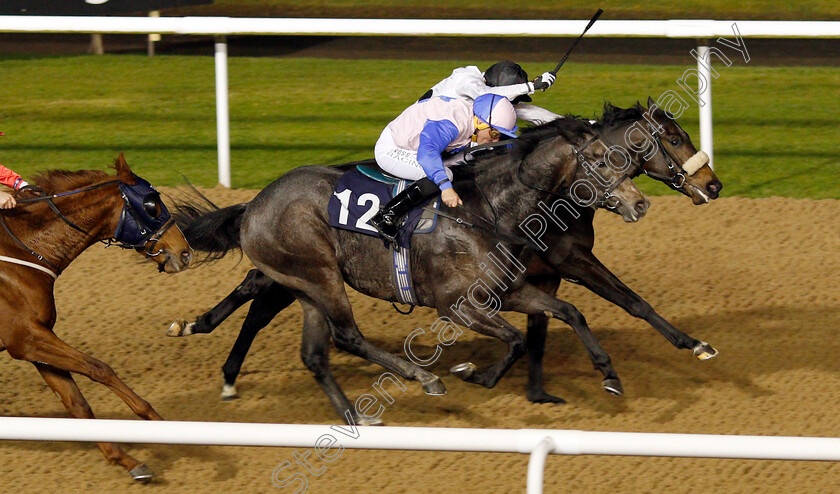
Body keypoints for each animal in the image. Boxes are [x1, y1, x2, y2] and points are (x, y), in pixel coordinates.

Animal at [0, 154, 192, 482]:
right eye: (152, 205)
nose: (185, 252)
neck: (22, 250)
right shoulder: (24, 337)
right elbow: (99, 368)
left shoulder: (35, 339)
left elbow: (77, 403)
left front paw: (128, 458)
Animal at [169, 97, 720, 406]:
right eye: (672, 137)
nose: (712, 185)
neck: (492, 207)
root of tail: (255, 203)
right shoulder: (464, 302)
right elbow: (544, 329)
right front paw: (473, 373)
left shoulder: (517, 287)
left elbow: (563, 317)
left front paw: (599, 376)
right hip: (317, 275)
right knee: (335, 331)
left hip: (305, 283)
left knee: (294, 330)